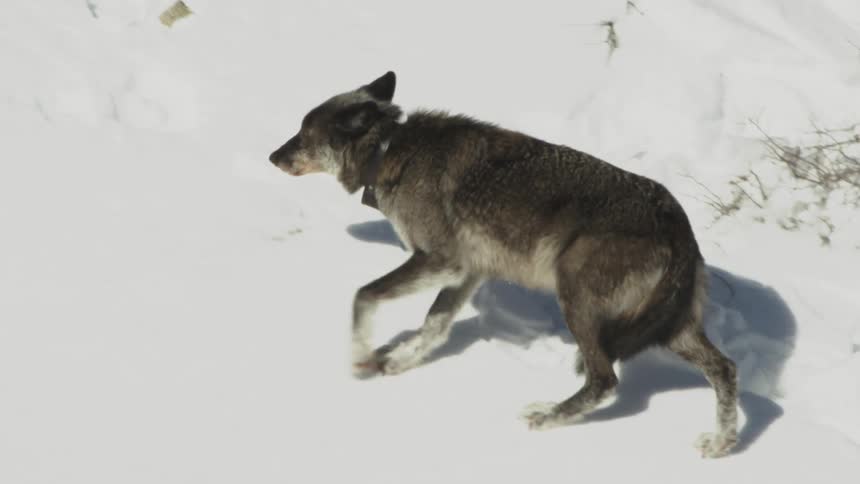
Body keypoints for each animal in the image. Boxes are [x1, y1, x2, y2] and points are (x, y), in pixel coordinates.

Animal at [269, 72, 738, 457]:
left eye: (302, 134)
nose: (272, 156)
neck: (388, 151)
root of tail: (678, 226)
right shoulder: (466, 272)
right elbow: (434, 326)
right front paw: (399, 362)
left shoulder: (441, 261)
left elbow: (362, 296)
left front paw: (361, 357)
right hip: (671, 329)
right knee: (725, 369)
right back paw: (722, 444)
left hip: (578, 302)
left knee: (604, 380)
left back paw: (546, 416)